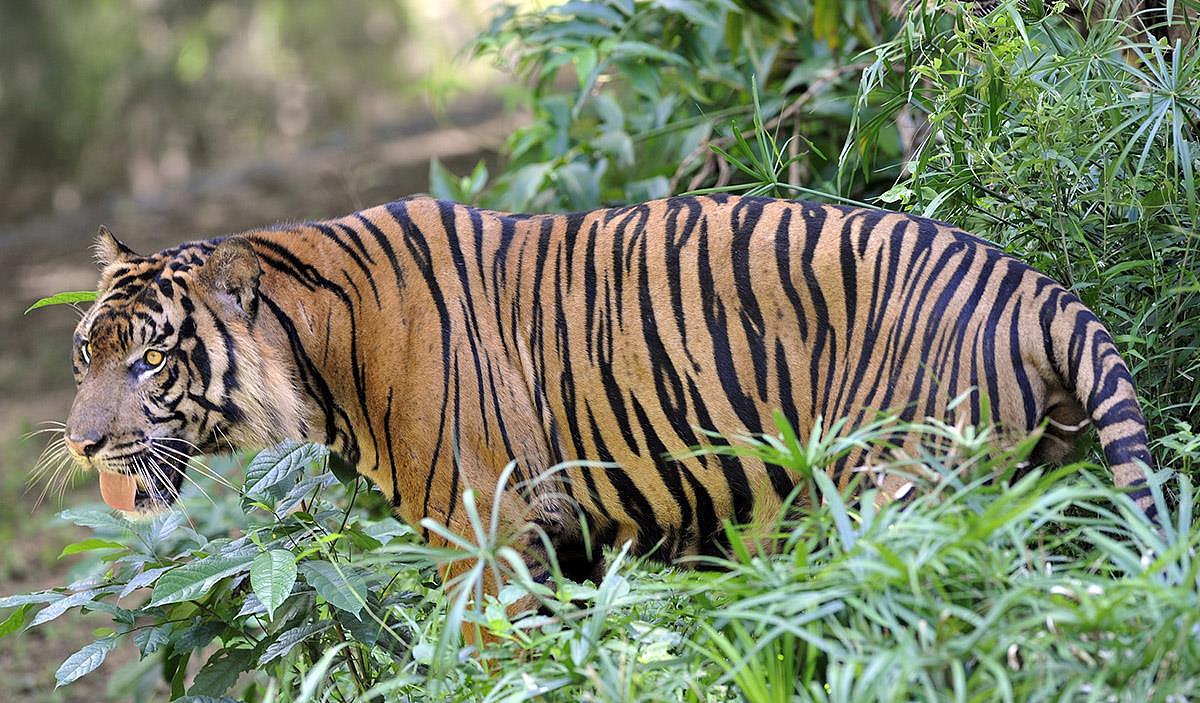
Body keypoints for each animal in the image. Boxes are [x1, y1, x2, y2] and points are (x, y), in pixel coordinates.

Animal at [56, 194, 1152, 583]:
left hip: (903, 488)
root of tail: (1036, 285)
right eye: (83, 355)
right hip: (1030, 480)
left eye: (149, 362)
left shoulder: (482, 529)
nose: (80, 443)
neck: (318, 354)